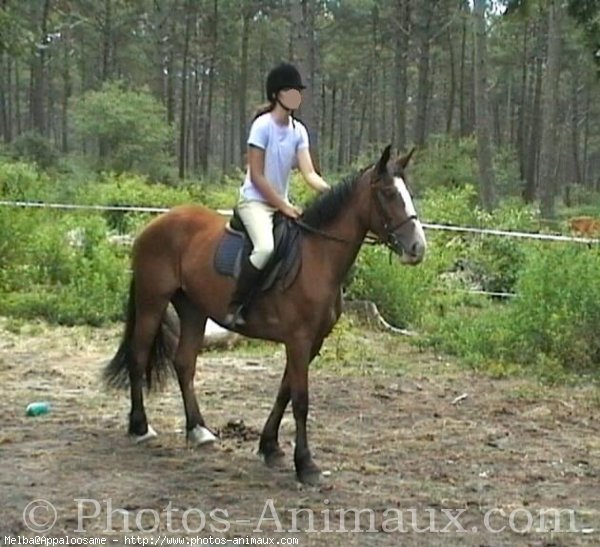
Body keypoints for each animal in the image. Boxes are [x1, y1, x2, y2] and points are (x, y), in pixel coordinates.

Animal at [105, 144, 428, 484]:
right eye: (389, 194)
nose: (417, 248)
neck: (318, 257)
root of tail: (154, 225)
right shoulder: (298, 339)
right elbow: (300, 400)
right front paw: (306, 465)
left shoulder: (312, 342)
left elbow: (285, 392)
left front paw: (269, 447)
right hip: (152, 301)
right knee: (139, 356)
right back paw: (140, 427)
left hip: (193, 309)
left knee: (184, 364)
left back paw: (198, 430)